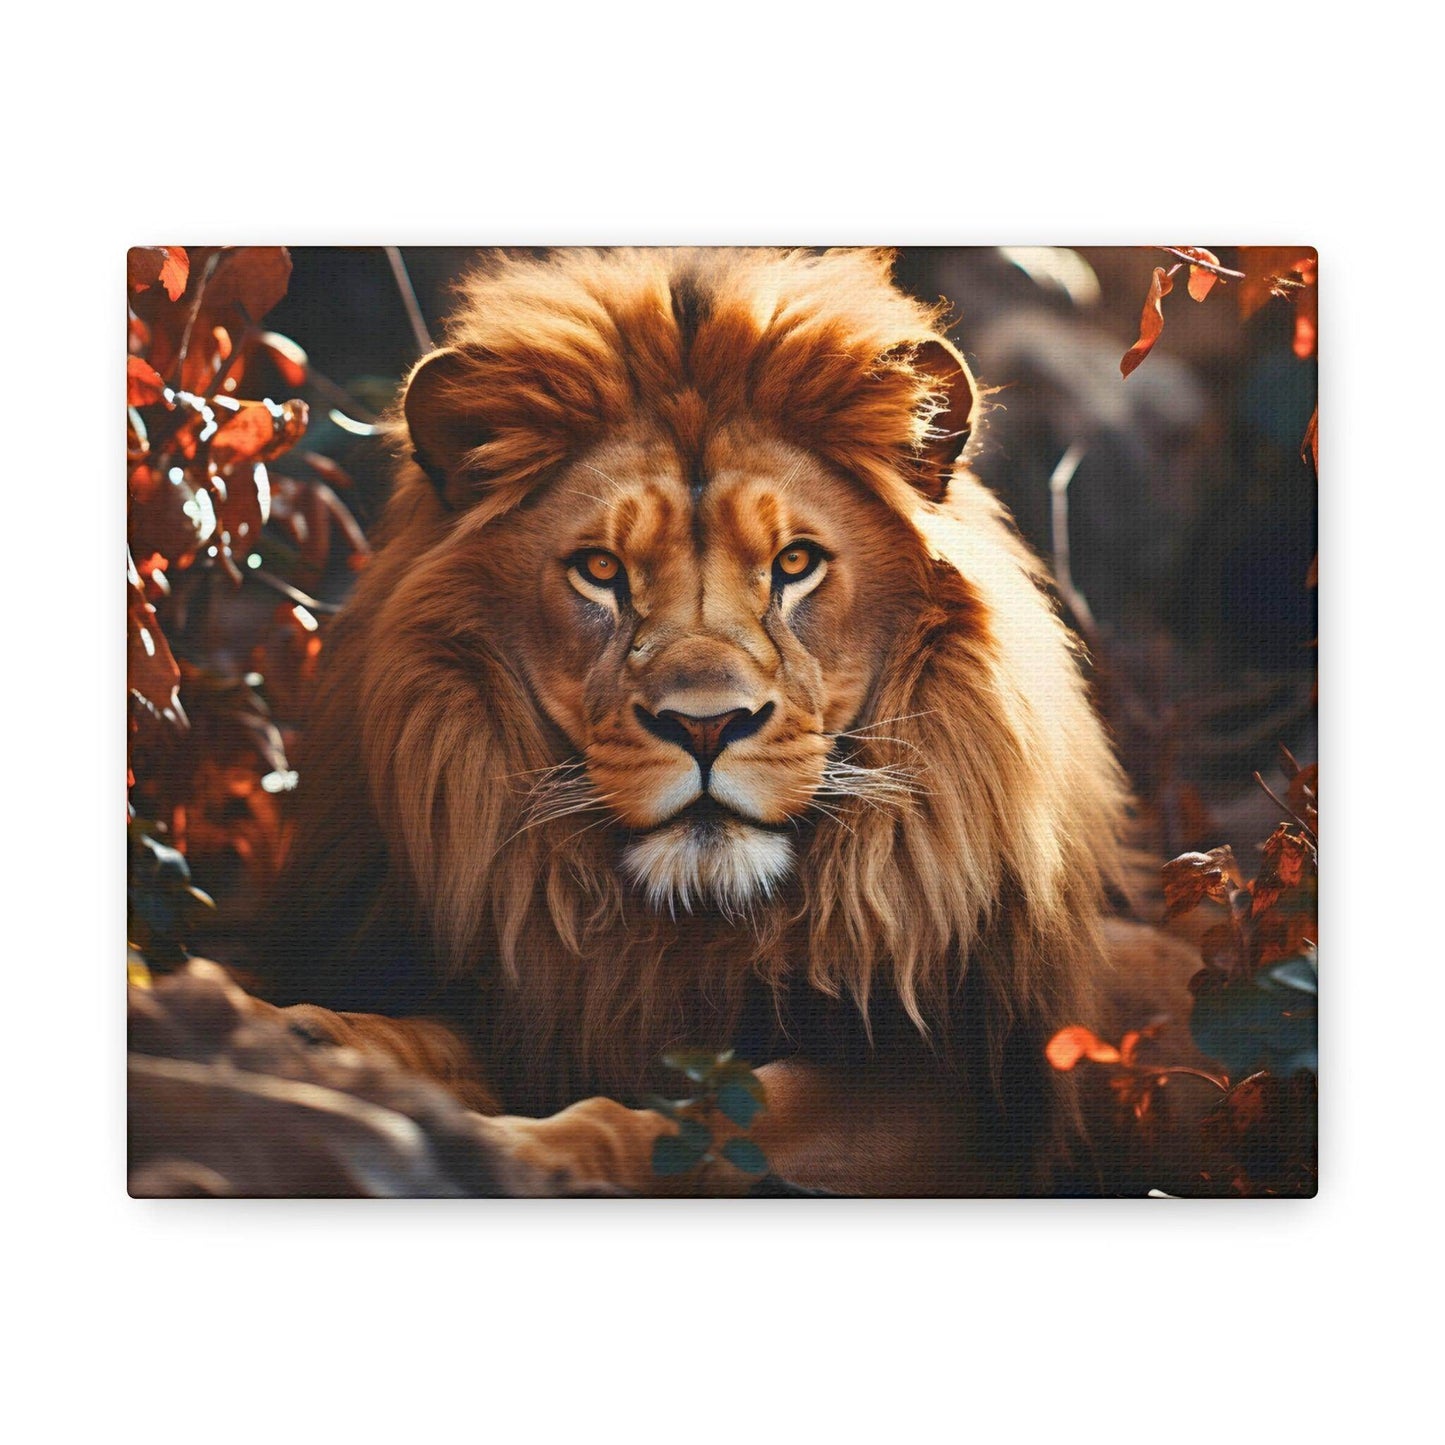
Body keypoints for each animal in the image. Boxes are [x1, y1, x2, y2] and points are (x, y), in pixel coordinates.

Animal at [258, 246, 1141, 1195]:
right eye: (599, 570)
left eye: (794, 563)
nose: (707, 727)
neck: (693, 928)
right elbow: (425, 1036)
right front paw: (299, 1037)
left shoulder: (958, 1099)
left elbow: (710, 1118)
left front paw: (530, 1153)